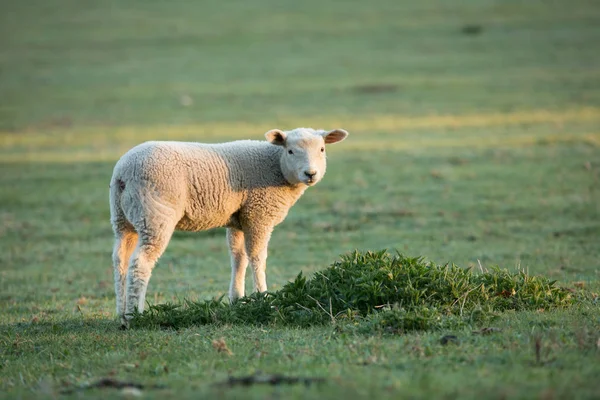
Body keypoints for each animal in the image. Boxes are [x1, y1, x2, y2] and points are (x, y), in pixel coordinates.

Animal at [110, 126, 350, 326]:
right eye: (290, 151)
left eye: (321, 149)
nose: (310, 174)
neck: (275, 165)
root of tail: (124, 172)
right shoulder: (259, 214)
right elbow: (257, 257)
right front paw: (263, 298)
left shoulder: (238, 218)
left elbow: (238, 256)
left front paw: (237, 300)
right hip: (155, 214)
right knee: (140, 263)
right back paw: (135, 315)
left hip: (123, 219)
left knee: (120, 259)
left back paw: (121, 314)